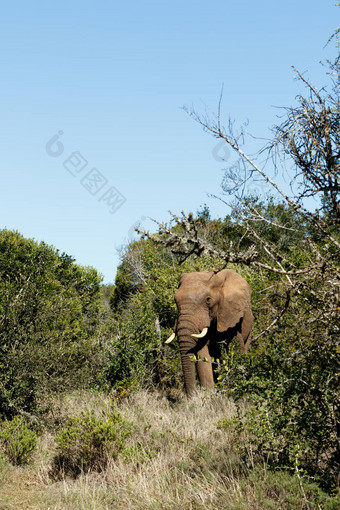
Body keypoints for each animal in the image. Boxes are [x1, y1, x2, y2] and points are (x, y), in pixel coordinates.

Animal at [165, 268, 252, 396]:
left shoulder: (230, 316)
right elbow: (202, 355)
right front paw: (209, 395)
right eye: (175, 301)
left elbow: (237, 348)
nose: (190, 397)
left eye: (208, 300)